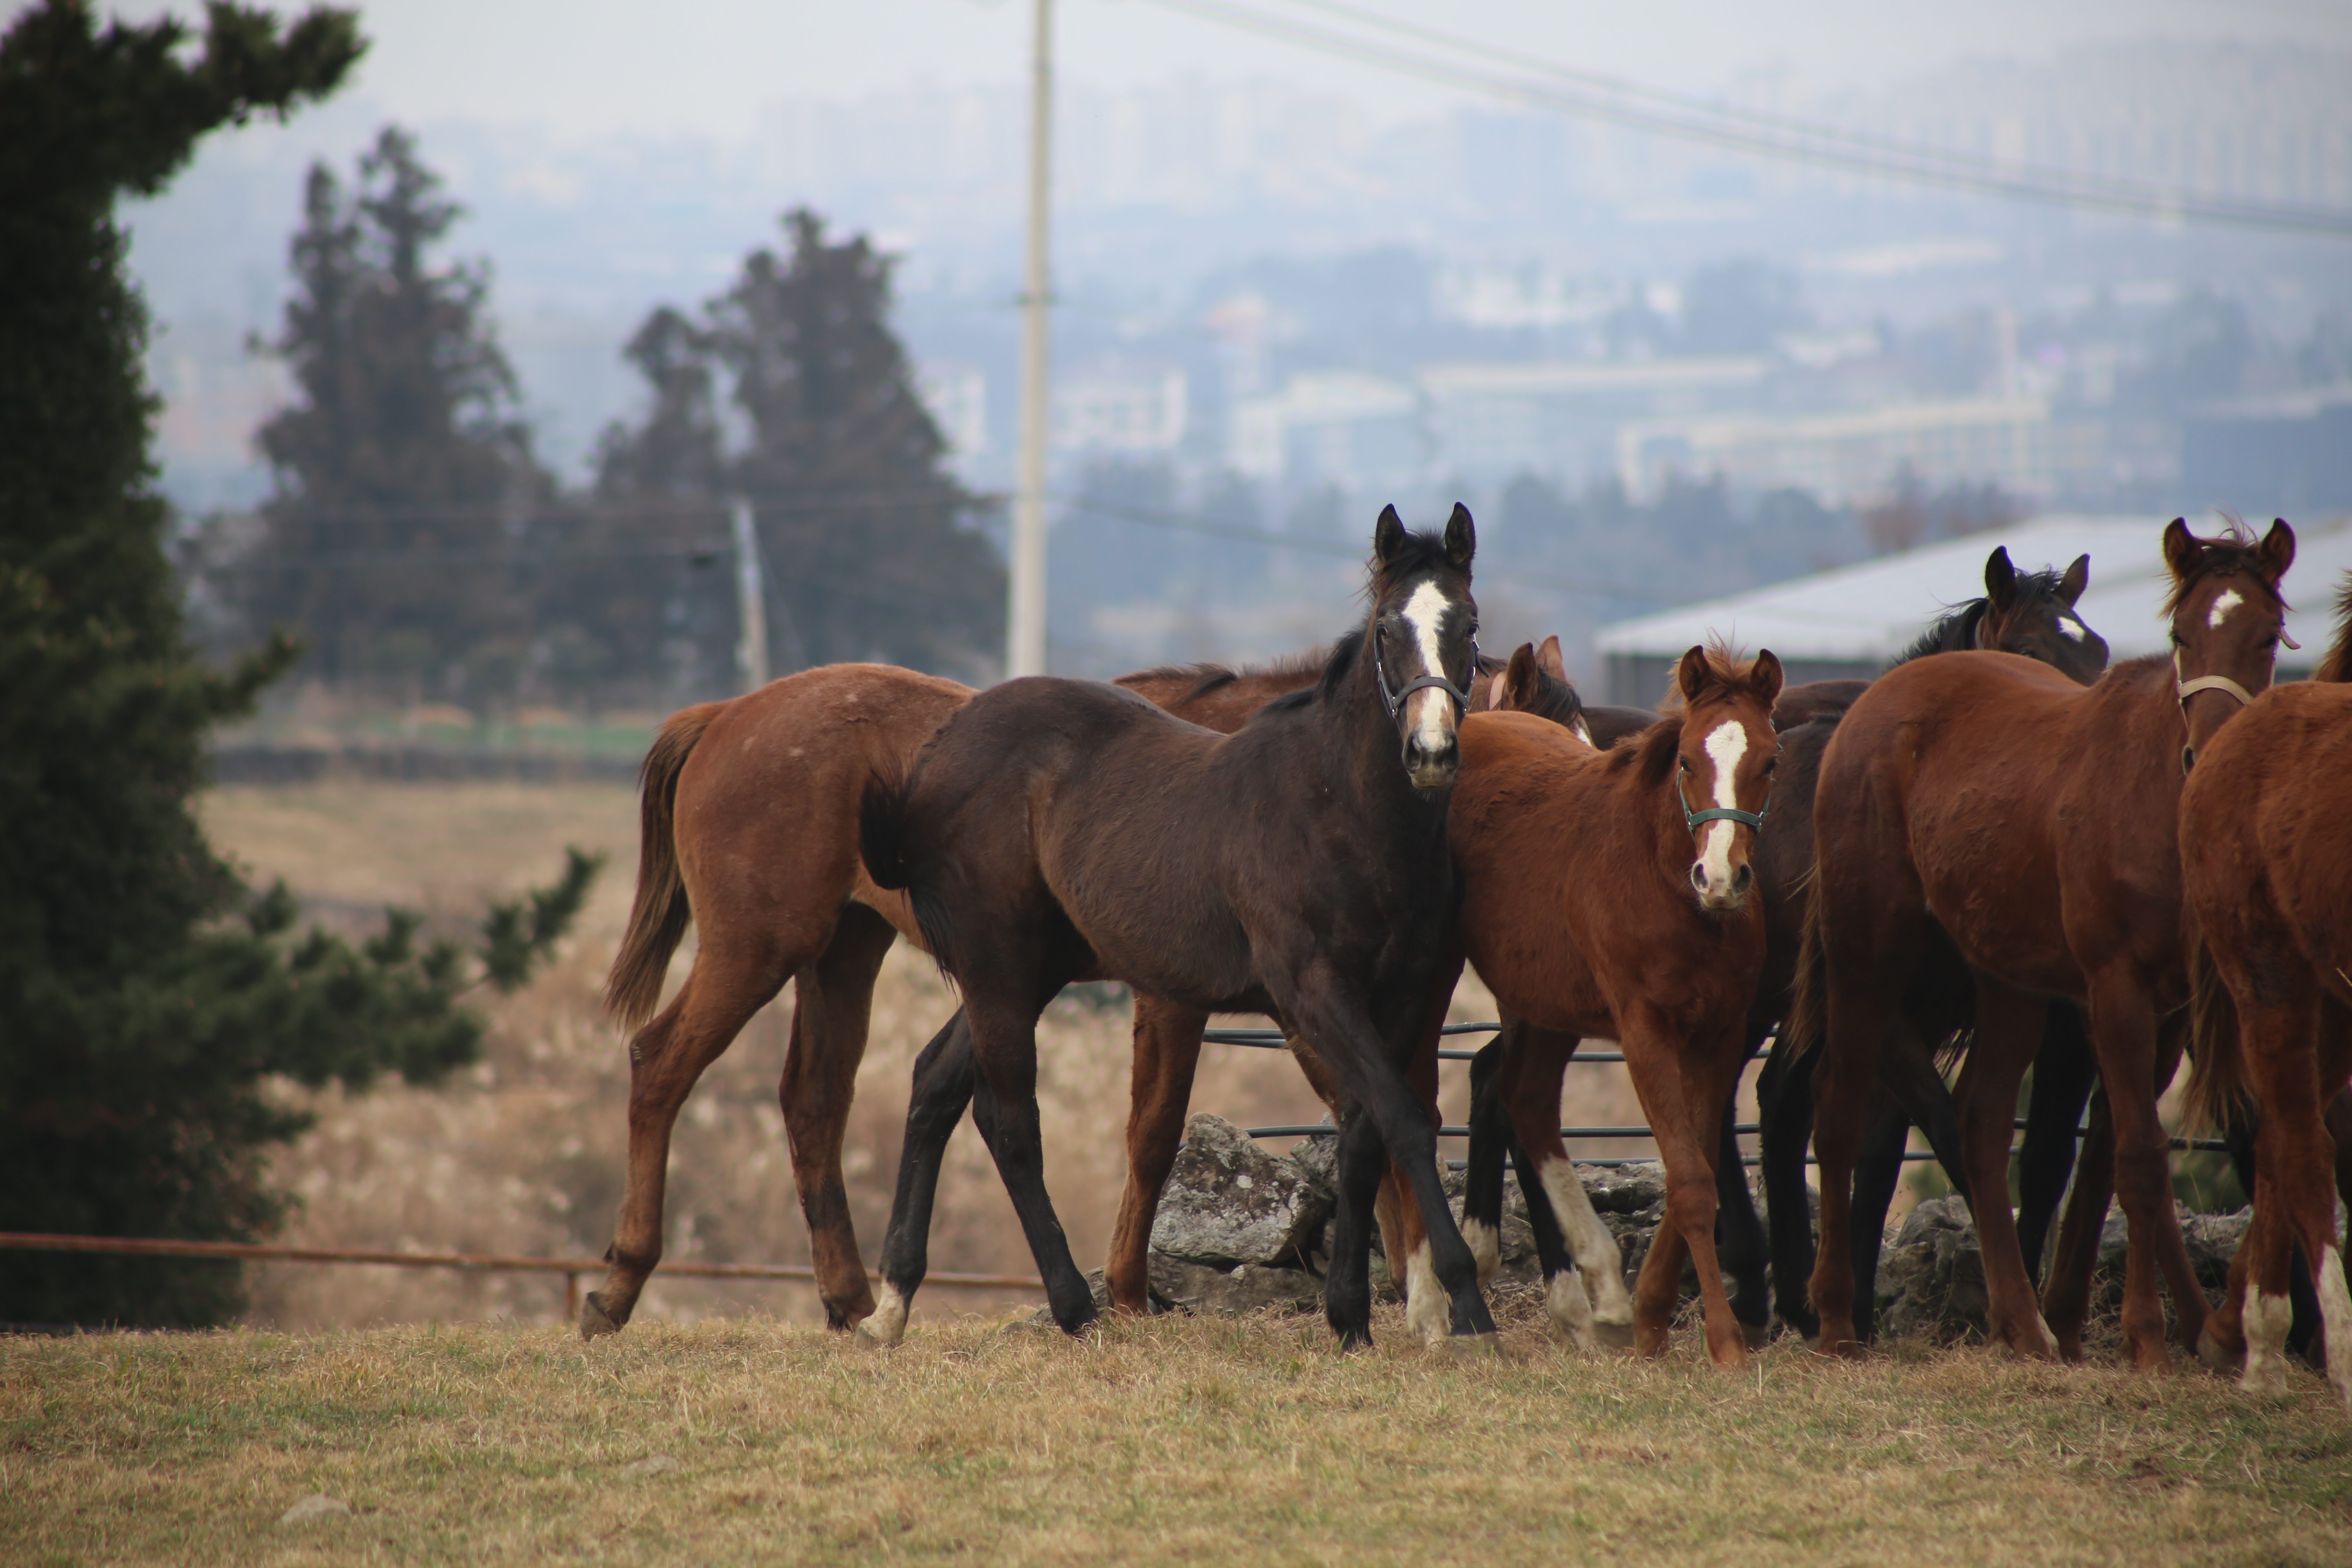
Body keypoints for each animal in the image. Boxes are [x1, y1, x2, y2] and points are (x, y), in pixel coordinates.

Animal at [865, 510, 1486, 1345]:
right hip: (997, 961)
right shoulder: (1313, 992)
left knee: (936, 1081)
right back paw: (1075, 1307)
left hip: (1032, 967)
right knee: (1011, 1120)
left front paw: (1351, 1316)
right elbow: (1405, 1120)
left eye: (1470, 625)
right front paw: (1466, 1302)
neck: (1340, 812)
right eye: (1388, 628)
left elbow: (1364, 1133)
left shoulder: (1399, 995)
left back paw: (892, 1303)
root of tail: (934, 753)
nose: (1431, 752)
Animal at [1797, 522, 2295, 1363]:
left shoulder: (2163, 1012)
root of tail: (1875, 703)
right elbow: (2136, 1156)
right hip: (1868, 959)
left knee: (1981, 1122)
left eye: (2269, 636)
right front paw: (2149, 1337)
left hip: (2010, 988)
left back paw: (2024, 1324)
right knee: (1838, 1114)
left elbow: (2115, 1155)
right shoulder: (2114, 990)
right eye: (2180, 634)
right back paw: (1836, 1317)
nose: (2212, 756)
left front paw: (2198, 1327)